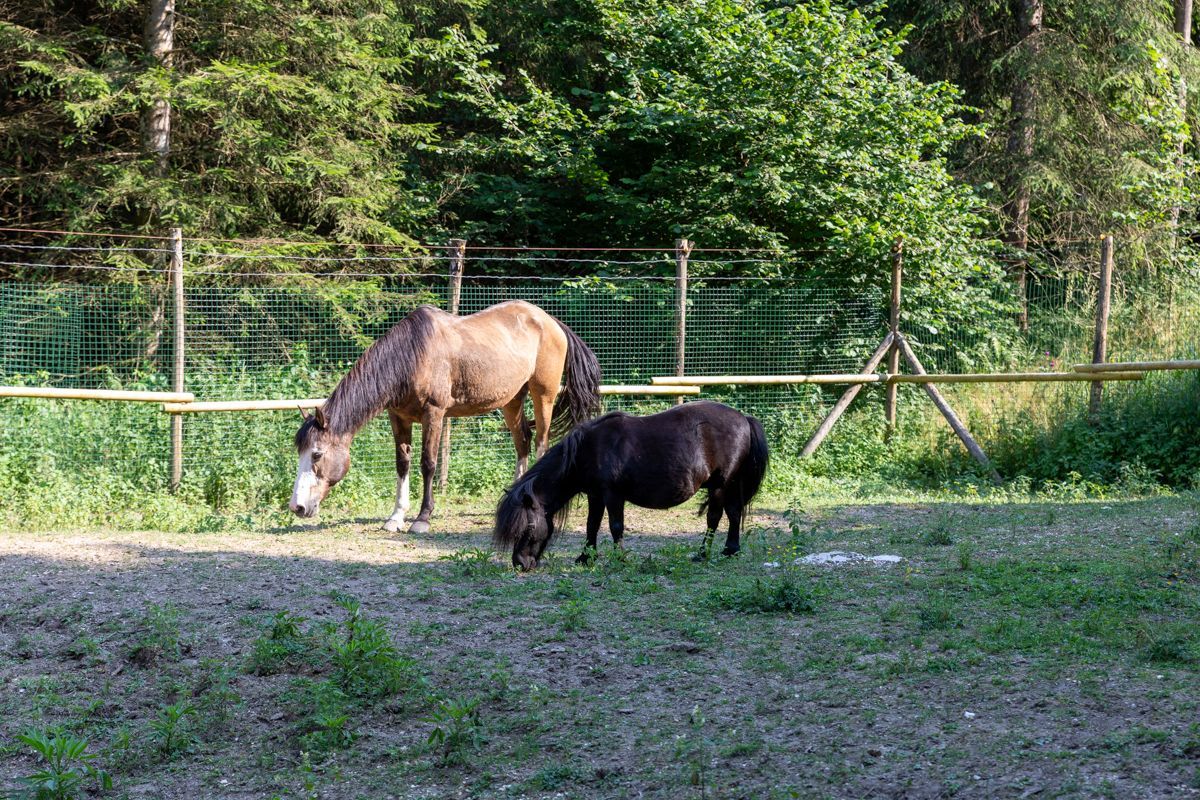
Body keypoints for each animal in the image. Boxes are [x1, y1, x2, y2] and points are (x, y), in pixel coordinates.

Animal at [291, 299, 604, 532]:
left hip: (544, 396)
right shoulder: (398, 417)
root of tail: (552, 322)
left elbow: (428, 463)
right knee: (522, 441)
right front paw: (396, 517)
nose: (297, 507)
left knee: (540, 442)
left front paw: (422, 518)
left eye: (317, 454)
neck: (412, 355)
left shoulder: (435, 413)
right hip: (512, 401)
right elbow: (402, 464)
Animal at [494, 402, 768, 573]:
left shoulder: (613, 495)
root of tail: (744, 419)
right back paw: (730, 550)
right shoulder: (595, 495)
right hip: (731, 485)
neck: (588, 449)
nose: (519, 563)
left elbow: (616, 527)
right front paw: (585, 558)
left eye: (528, 527)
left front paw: (620, 558)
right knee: (734, 513)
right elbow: (592, 525)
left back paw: (703, 554)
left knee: (714, 517)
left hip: (720, 485)